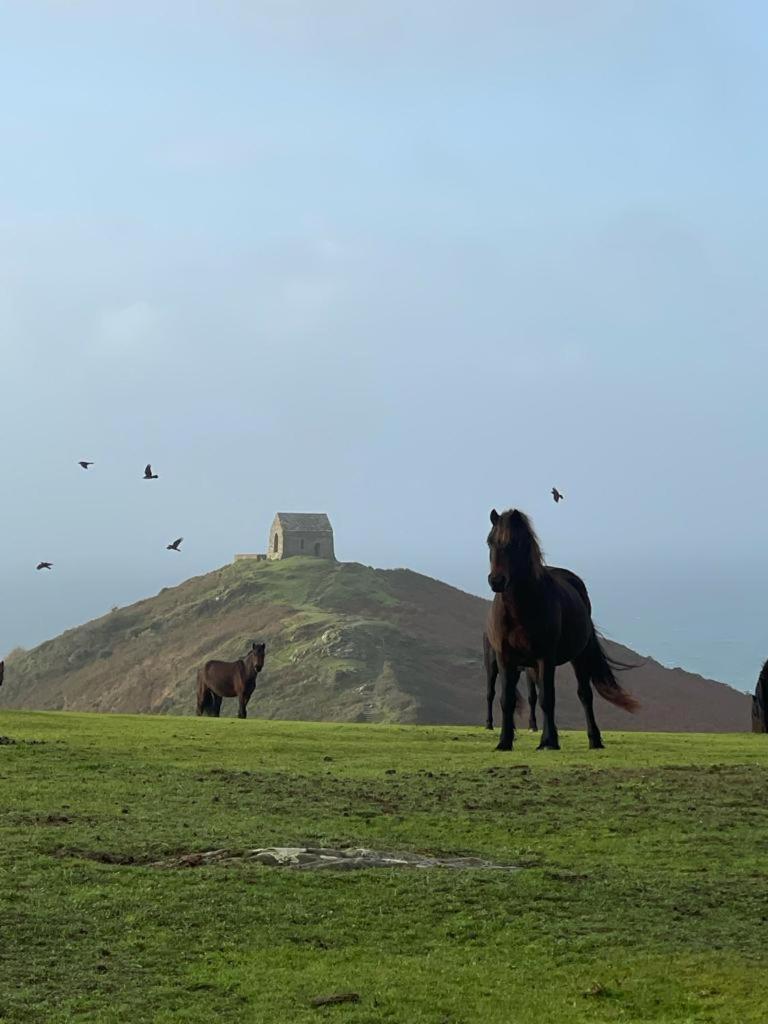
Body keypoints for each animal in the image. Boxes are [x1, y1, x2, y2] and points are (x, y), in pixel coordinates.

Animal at [487, 507, 643, 749]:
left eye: (515, 543)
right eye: (491, 542)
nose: (496, 581)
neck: (520, 608)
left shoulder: (545, 657)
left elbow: (547, 699)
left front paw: (549, 741)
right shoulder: (505, 658)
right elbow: (507, 699)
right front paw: (504, 742)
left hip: (579, 657)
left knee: (585, 695)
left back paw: (594, 740)